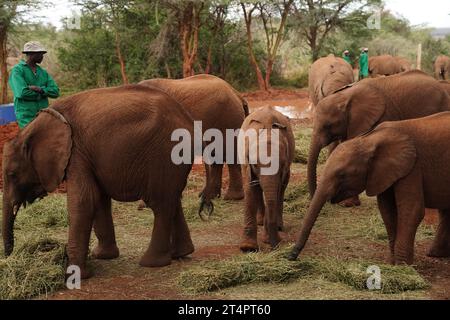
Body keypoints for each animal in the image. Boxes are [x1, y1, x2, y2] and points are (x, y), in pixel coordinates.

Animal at [2, 84, 195, 278]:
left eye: (12, 174)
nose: (9, 256)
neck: (34, 127)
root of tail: (186, 117)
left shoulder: (76, 152)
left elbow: (83, 201)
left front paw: (75, 275)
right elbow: (100, 199)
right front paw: (102, 256)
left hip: (164, 154)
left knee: (160, 204)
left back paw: (151, 263)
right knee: (172, 199)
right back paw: (181, 253)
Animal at [139, 75, 248, 215]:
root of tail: (237, 94)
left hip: (228, 119)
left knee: (229, 154)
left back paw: (231, 197)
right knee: (216, 155)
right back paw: (210, 196)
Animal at [239, 106, 296, 251]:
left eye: (281, 165)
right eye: (255, 164)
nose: (275, 245)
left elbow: (276, 191)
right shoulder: (246, 162)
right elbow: (249, 188)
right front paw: (248, 248)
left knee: (281, 189)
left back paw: (279, 226)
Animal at [288, 112, 450, 264]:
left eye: (342, 175)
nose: (291, 256)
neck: (370, 139)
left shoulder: (412, 167)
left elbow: (411, 211)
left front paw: (403, 267)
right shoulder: (383, 172)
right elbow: (387, 210)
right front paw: (392, 263)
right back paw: (435, 254)